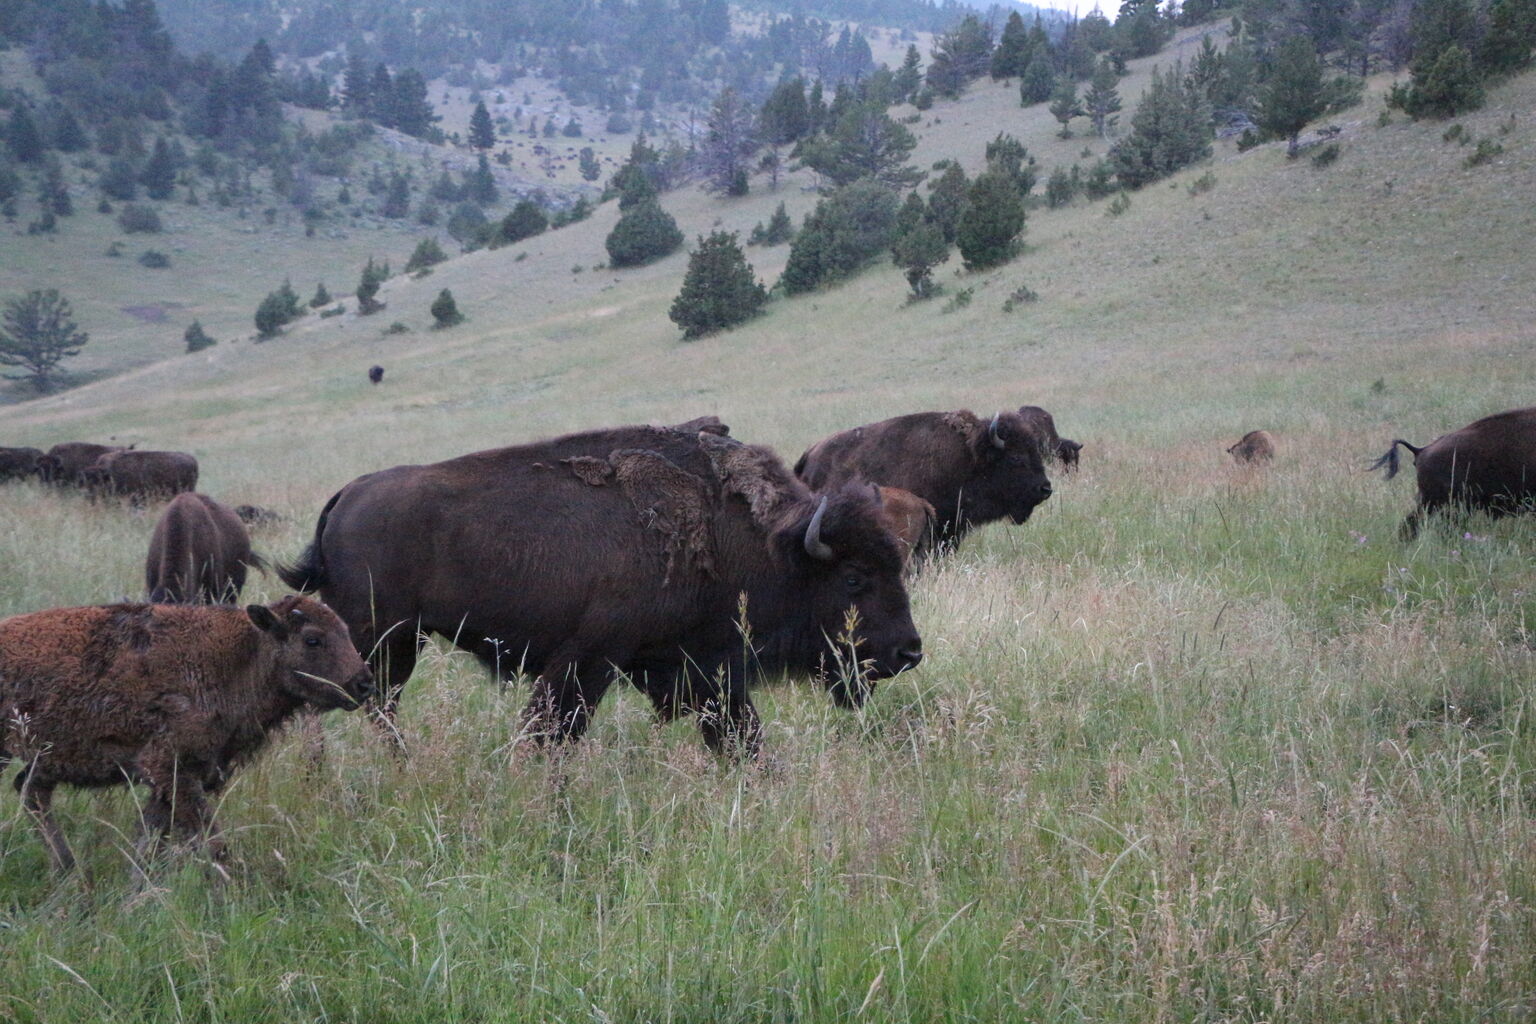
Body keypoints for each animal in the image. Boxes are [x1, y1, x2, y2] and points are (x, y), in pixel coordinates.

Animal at [0, 595, 371, 878]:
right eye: (312, 639)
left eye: (345, 632)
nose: (363, 684)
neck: (242, 656)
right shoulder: (171, 769)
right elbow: (212, 841)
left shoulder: (178, 777)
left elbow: (150, 841)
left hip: (49, 759)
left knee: (31, 791)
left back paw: (70, 874)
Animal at [281, 417, 915, 761]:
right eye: (854, 577)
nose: (909, 651)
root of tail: (345, 497)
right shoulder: (589, 659)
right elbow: (554, 731)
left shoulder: (704, 669)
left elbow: (741, 736)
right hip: (380, 639)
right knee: (356, 702)